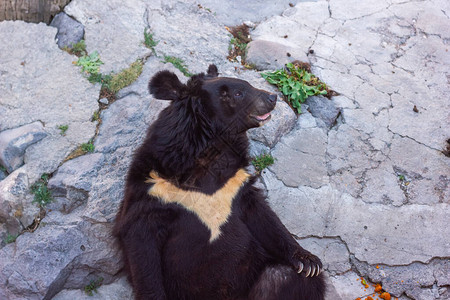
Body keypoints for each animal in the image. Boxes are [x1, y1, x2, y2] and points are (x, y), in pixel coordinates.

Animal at [111, 65, 324, 300]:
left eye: (247, 85)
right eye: (238, 93)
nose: (272, 97)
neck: (212, 148)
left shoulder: (235, 184)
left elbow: (265, 217)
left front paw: (309, 262)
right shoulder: (153, 190)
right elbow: (142, 248)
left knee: (285, 276)